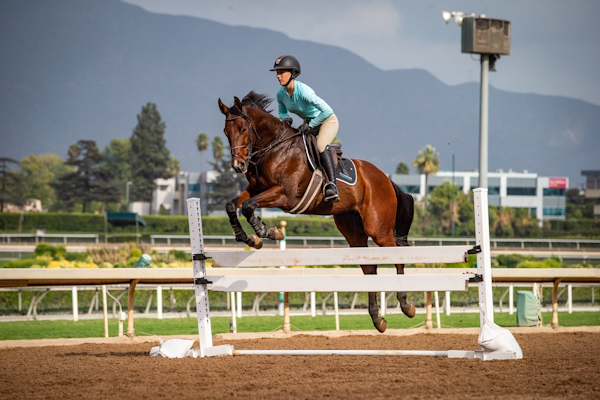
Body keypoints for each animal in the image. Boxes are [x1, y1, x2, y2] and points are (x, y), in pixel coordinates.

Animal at [218, 90, 414, 332]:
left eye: (243, 129)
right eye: (226, 132)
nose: (238, 166)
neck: (275, 148)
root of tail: (385, 178)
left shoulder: (285, 195)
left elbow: (247, 206)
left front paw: (267, 232)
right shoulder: (256, 189)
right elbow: (233, 205)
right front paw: (249, 238)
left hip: (379, 229)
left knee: (397, 256)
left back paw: (406, 305)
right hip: (353, 231)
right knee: (369, 268)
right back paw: (377, 318)